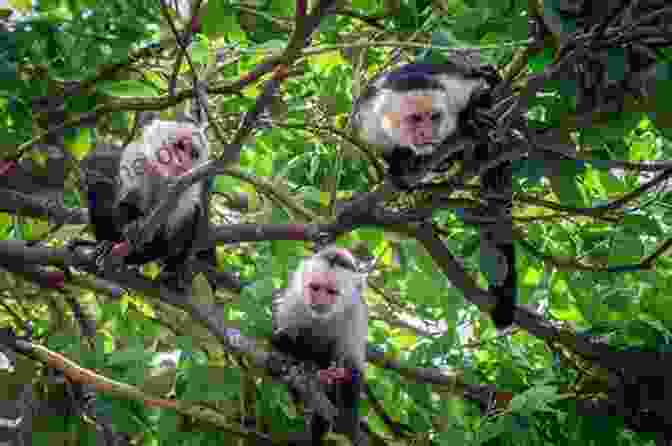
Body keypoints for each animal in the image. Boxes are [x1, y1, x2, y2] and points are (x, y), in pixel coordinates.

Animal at [79, 120, 217, 290]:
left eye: (193, 154)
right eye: (180, 147)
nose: (183, 161)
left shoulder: (188, 183)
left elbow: (179, 223)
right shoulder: (136, 158)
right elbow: (127, 200)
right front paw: (132, 226)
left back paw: (171, 271)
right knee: (100, 185)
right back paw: (106, 243)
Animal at [272, 247, 368, 446]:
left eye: (331, 292)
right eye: (315, 288)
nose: (320, 302)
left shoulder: (356, 312)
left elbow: (352, 364)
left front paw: (348, 417)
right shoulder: (294, 301)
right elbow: (282, 338)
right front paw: (289, 356)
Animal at [352, 61, 516, 328]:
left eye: (434, 117)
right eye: (416, 119)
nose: (428, 133)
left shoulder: (453, 88)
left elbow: (480, 87)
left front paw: (473, 113)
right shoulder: (368, 118)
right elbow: (381, 147)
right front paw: (398, 164)